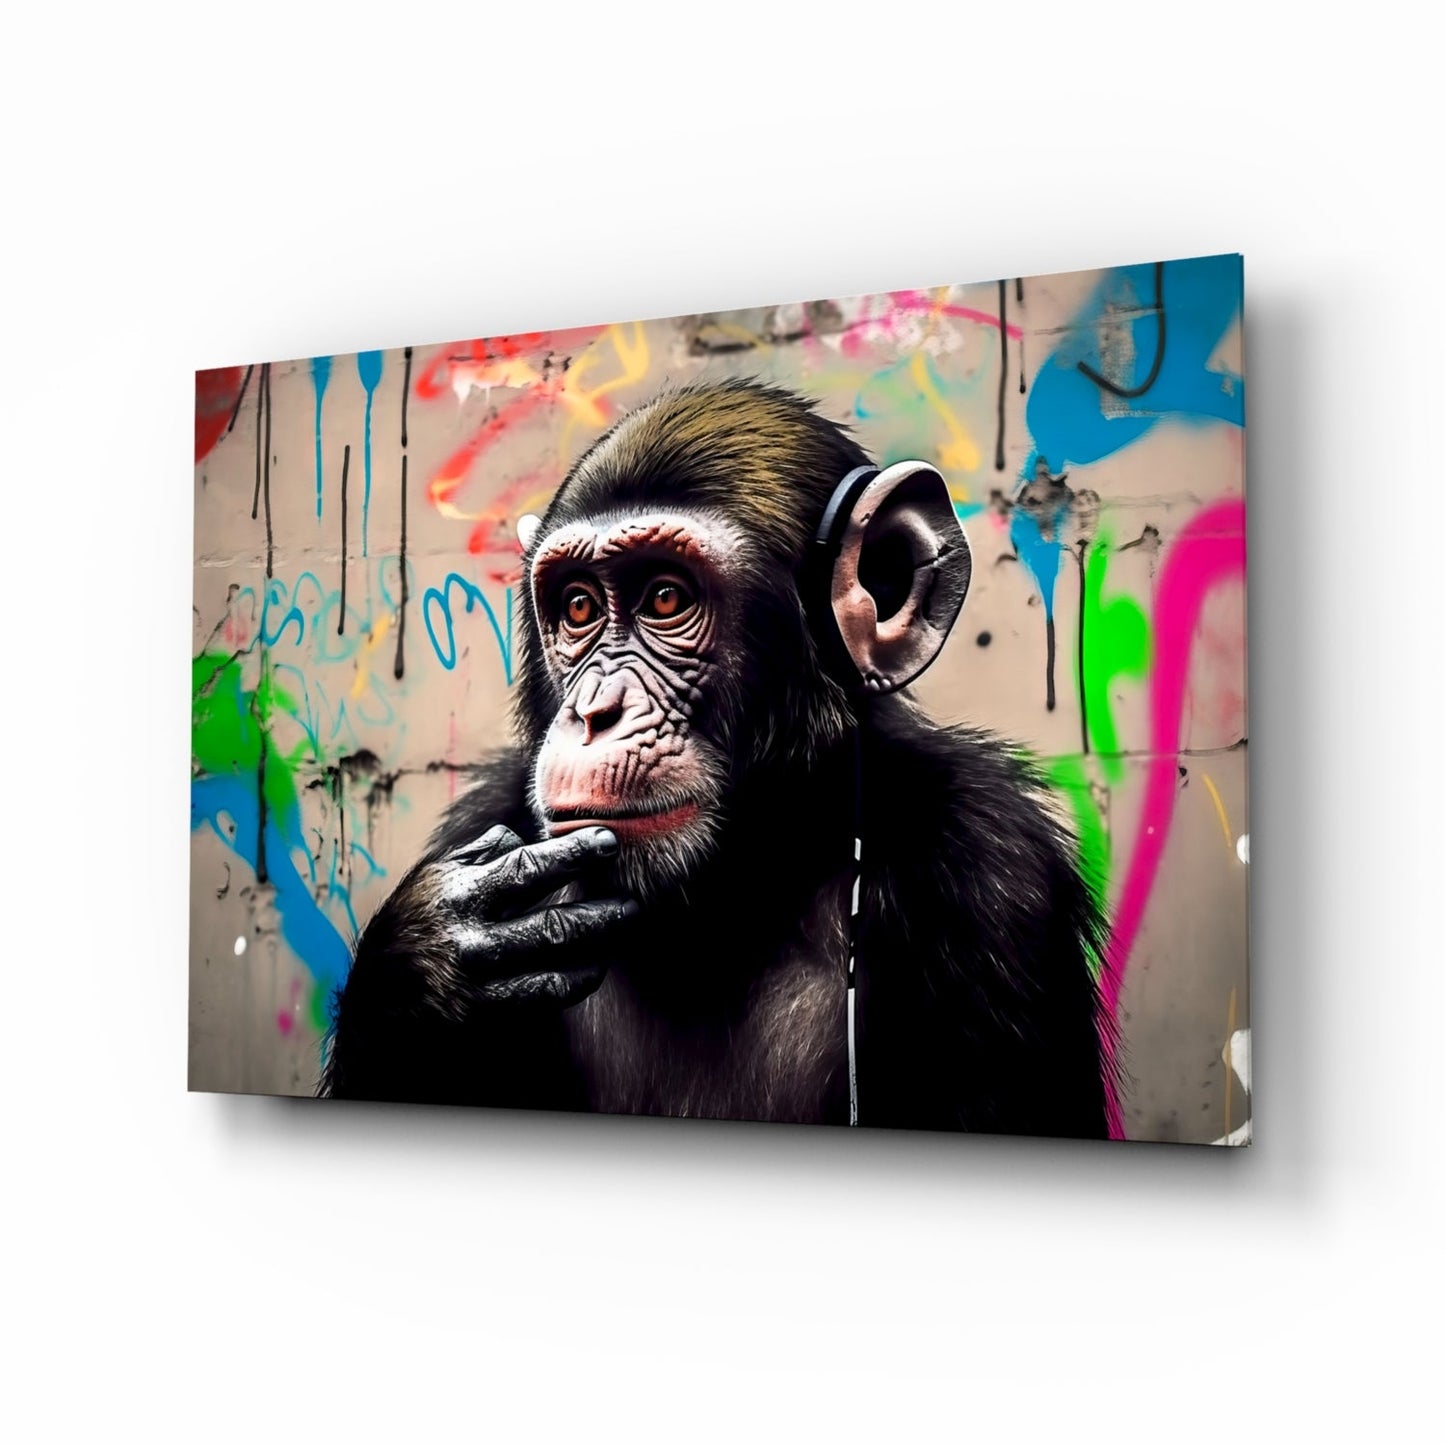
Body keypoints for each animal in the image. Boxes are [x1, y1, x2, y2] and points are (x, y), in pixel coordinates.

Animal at [319, 379, 1115, 1138]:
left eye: (666, 598)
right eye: (577, 609)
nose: (594, 710)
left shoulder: (990, 871)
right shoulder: (484, 819)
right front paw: (426, 967)